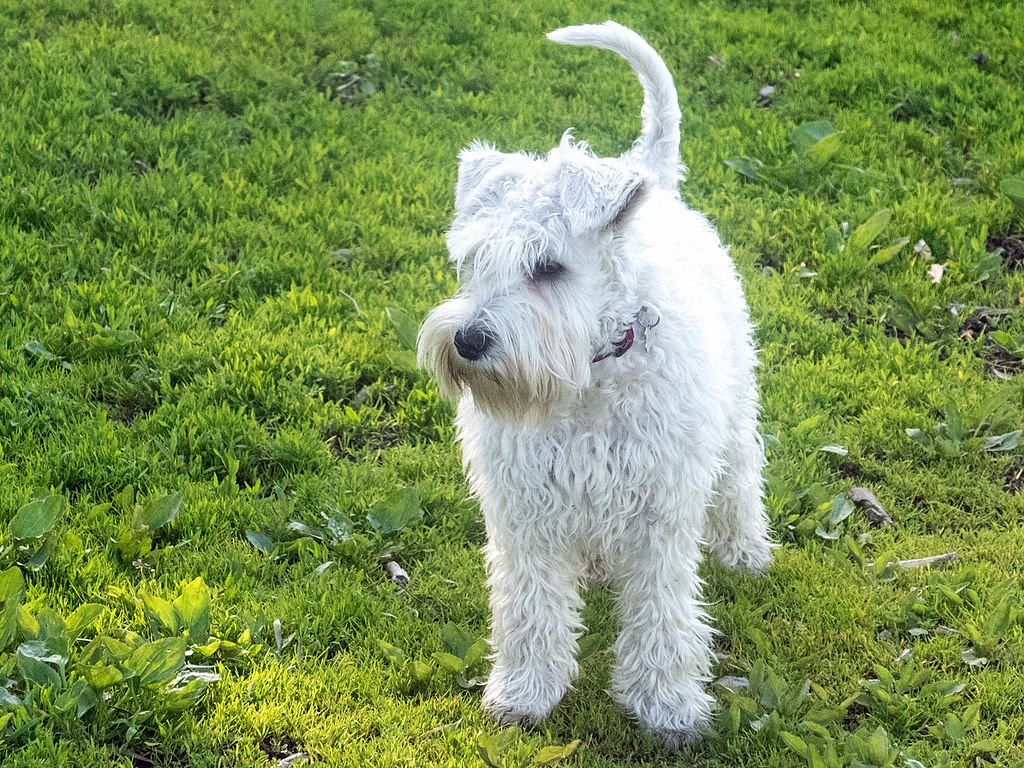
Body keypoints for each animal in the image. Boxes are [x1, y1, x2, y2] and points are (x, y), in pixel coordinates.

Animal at [419, 20, 770, 749]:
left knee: (741, 477)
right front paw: (525, 694)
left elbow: (662, 611)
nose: (468, 341)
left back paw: (746, 551)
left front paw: (667, 705)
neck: (586, 381)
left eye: (549, 266)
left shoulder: (662, 509)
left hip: (734, 414)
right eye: (473, 258)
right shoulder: (524, 509)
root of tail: (653, 178)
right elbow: (530, 607)